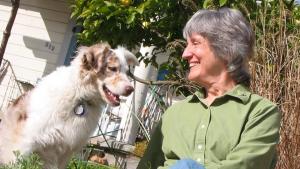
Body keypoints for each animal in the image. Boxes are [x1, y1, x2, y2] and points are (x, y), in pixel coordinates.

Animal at [0, 43, 138, 168]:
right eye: (112, 68)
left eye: (127, 72)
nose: (131, 89)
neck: (80, 96)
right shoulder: (28, 141)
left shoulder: (66, 151)